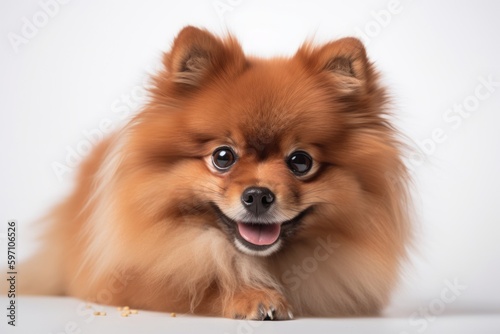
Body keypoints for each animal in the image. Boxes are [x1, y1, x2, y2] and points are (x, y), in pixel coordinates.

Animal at [21, 25, 410, 318]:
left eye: (300, 161)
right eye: (223, 156)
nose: (258, 195)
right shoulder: (124, 278)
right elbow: (196, 283)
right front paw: (251, 295)